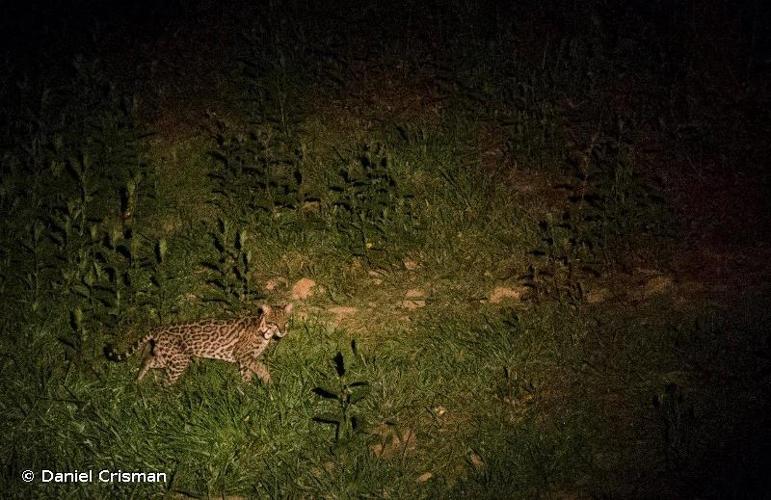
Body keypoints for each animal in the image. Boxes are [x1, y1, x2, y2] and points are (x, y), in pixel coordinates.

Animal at [105, 300, 292, 386]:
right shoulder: (242, 354)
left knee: (148, 359)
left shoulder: (244, 359)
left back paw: (138, 380)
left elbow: (247, 372)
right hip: (179, 361)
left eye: (286, 321)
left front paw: (248, 388)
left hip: (169, 356)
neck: (263, 330)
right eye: (274, 322)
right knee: (165, 382)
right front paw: (267, 380)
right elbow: (260, 366)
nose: (283, 331)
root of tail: (159, 328)